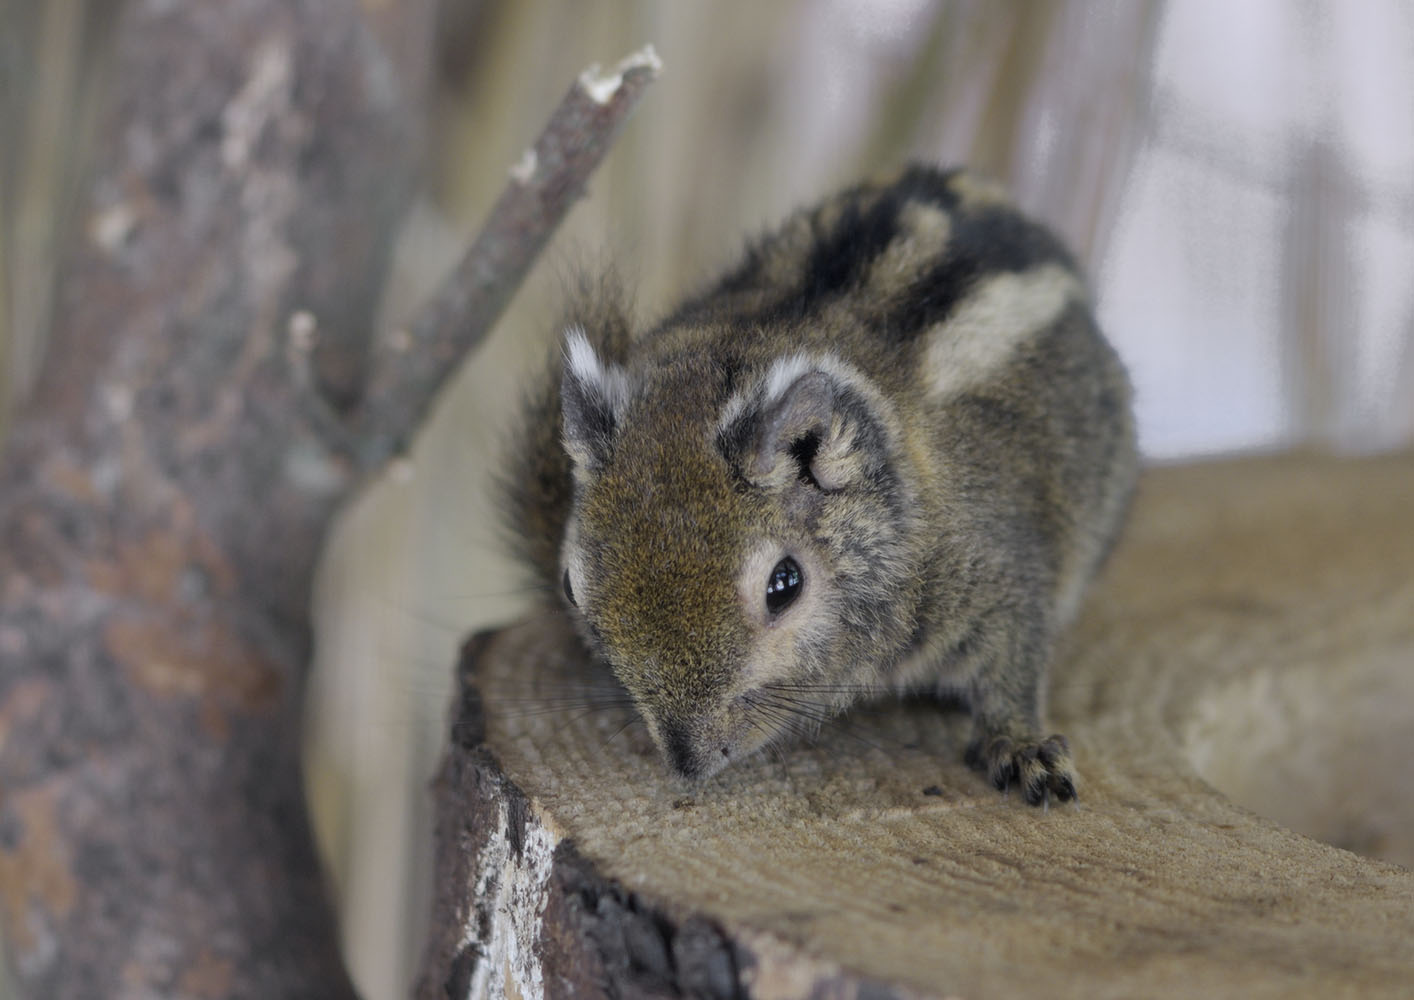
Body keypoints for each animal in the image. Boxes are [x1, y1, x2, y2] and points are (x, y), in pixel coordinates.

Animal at [501, 164, 1138, 805]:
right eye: (571, 587)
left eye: (784, 586)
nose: (687, 762)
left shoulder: (997, 573)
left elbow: (1013, 659)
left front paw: (1022, 746)